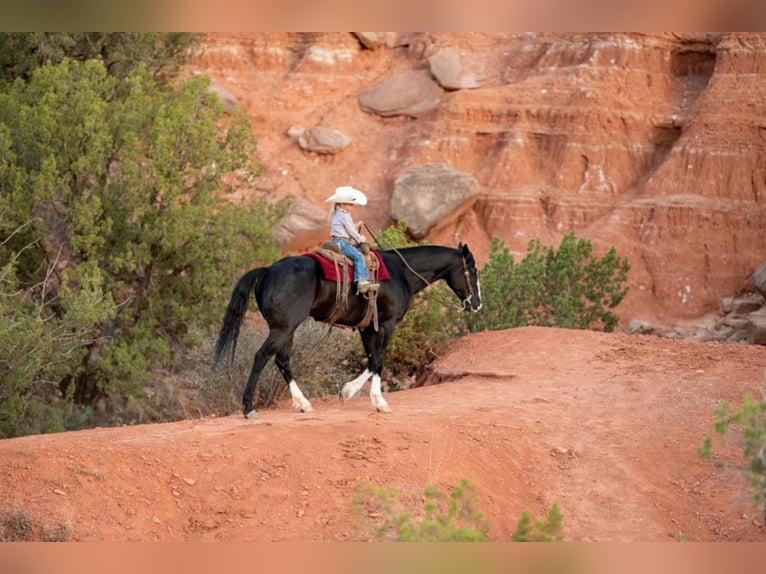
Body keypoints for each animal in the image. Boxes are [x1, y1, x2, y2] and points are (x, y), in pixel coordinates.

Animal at [213, 243, 484, 418]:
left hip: (286, 329)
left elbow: (372, 361)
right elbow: (378, 361)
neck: (400, 273)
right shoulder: (385, 325)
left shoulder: (367, 328)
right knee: (261, 357)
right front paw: (377, 401)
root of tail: (268, 270)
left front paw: (347, 391)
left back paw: (303, 403)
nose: (477, 304)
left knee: (282, 360)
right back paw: (249, 408)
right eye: (471, 271)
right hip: (283, 328)